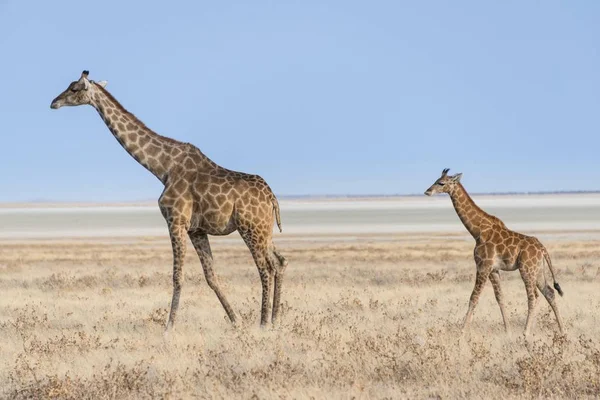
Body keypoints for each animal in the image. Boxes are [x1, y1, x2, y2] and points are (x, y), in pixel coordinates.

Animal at [50, 71, 288, 332]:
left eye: (74, 88)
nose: (54, 102)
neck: (162, 168)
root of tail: (272, 198)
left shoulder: (175, 221)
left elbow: (177, 276)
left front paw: (169, 327)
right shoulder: (196, 230)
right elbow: (210, 276)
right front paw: (236, 321)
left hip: (250, 228)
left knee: (265, 267)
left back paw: (264, 322)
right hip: (264, 230)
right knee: (280, 262)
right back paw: (275, 319)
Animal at [424, 169, 564, 338]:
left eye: (441, 183)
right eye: (436, 180)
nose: (427, 191)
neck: (477, 231)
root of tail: (543, 249)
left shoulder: (483, 266)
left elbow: (474, 297)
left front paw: (462, 331)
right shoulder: (493, 269)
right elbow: (500, 297)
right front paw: (507, 331)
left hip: (527, 269)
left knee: (533, 297)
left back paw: (526, 332)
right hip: (538, 270)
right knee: (549, 292)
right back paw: (562, 331)